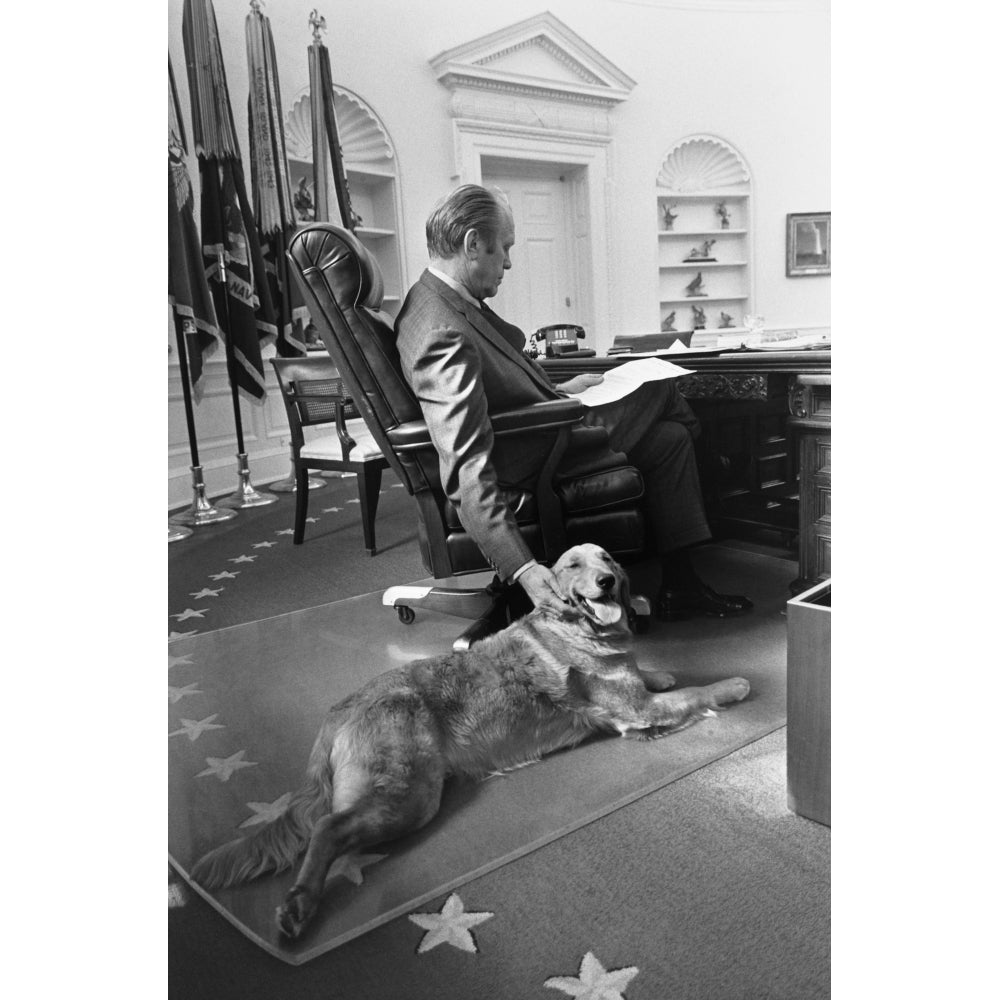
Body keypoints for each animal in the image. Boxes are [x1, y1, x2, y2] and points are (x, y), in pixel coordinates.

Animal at [189, 544, 752, 940]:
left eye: (609, 559)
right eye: (573, 564)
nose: (608, 581)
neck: (578, 629)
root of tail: (340, 709)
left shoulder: (636, 692)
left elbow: (659, 677)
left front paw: (659, 670)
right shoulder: (636, 713)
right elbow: (697, 691)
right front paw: (735, 685)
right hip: (408, 794)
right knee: (328, 828)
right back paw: (300, 904)